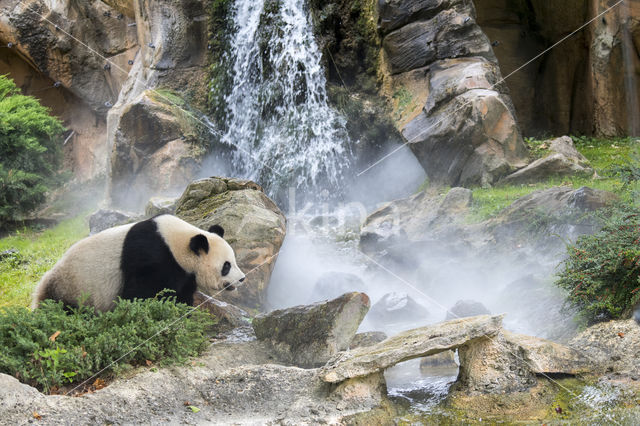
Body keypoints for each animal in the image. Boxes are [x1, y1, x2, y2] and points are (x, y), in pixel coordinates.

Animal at [30, 215, 246, 312]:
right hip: (73, 286)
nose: (242, 279)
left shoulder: (184, 273)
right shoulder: (153, 258)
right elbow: (137, 294)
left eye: (233, 261)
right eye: (226, 266)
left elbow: (180, 294)